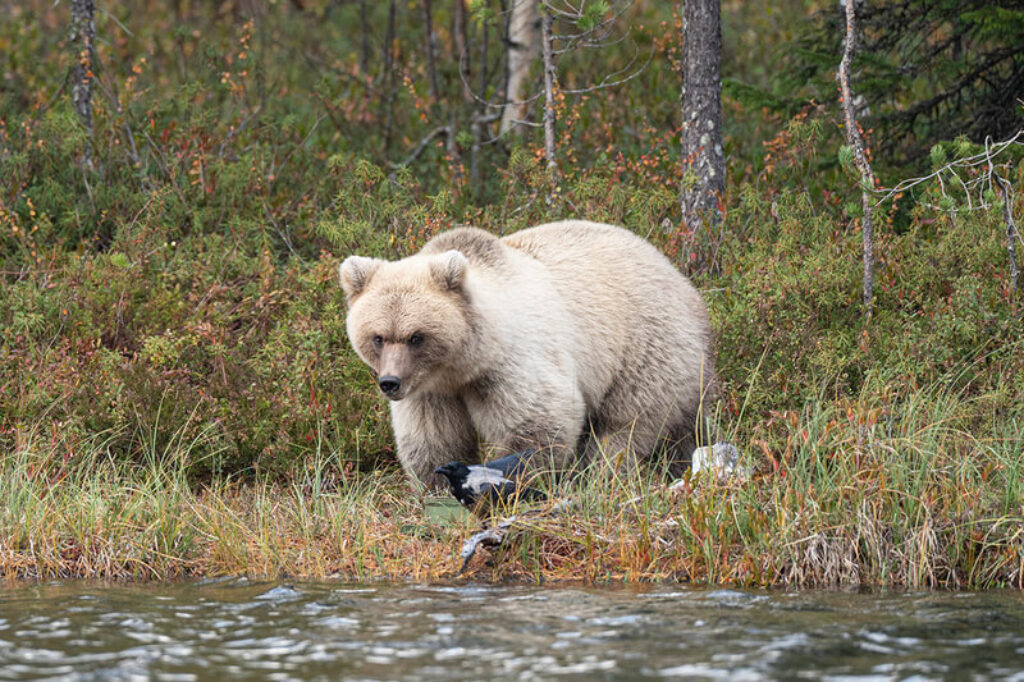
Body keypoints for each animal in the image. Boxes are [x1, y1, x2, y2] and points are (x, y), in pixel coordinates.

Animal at [339, 220, 716, 485]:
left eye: (416, 337)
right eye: (378, 337)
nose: (390, 382)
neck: (465, 366)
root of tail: (677, 274)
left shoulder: (512, 364)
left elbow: (537, 422)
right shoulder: (430, 392)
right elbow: (433, 438)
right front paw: (437, 483)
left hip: (645, 348)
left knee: (624, 426)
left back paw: (600, 474)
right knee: (687, 426)